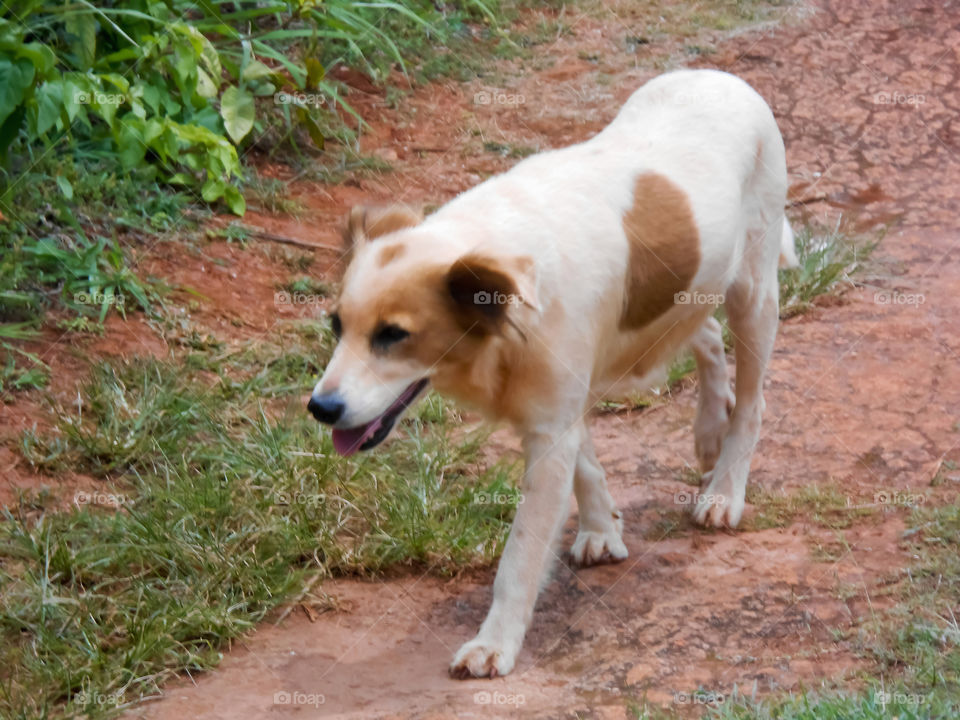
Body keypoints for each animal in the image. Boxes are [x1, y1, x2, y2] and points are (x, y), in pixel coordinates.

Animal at [308, 70, 796, 676]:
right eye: (336, 325)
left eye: (393, 335)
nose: (320, 408)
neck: (510, 293)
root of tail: (720, 76)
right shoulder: (558, 406)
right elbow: (586, 465)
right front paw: (602, 529)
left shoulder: (550, 428)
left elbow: (519, 556)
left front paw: (494, 643)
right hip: (680, 301)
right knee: (704, 335)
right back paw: (709, 430)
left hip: (753, 292)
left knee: (752, 398)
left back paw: (726, 486)